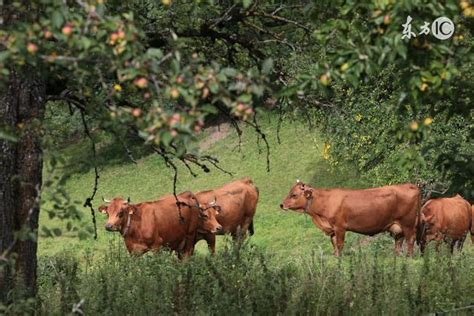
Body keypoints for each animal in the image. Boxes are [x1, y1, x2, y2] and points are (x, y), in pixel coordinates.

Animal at [280, 180, 420, 256]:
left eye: (294, 194)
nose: (281, 204)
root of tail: (409, 185)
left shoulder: (340, 227)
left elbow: (340, 244)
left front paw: (340, 258)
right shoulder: (332, 229)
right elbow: (334, 244)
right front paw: (335, 256)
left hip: (408, 223)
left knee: (410, 239)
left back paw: (409, 256)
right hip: (397, 226)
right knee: (399, 240)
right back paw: (396, 256)